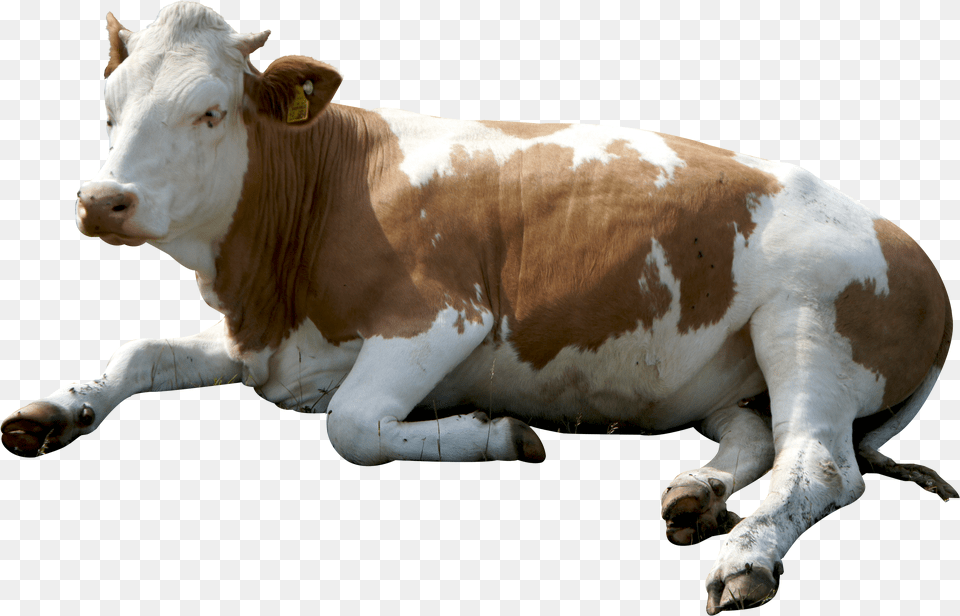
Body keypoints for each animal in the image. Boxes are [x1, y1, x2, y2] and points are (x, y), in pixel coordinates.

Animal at [3, 2, 954, 612]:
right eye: (109, 107)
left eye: (208, 112)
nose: (101, 201)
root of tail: (911, 250)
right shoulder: (269, 342)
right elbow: (140, 352)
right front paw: (52, 410)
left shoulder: (444, 317)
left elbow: (351, 427)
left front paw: (497, 433)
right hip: (732, 371)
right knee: (757, 438)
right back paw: (696, 495)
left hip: (810, 321)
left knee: (821, 465)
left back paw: (748, 554)